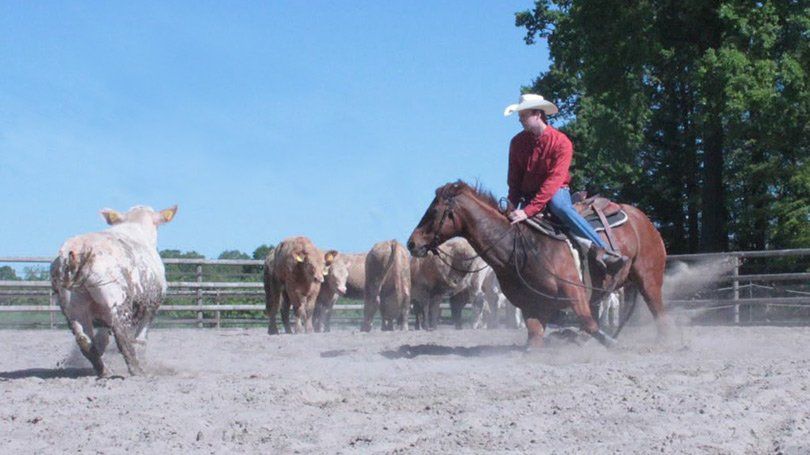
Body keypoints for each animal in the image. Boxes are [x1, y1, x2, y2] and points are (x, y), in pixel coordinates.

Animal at [406, 181, 670, 348]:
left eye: (434, 211)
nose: (412, 243)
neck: (521, 247)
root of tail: (642, 218)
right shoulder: (531, 304)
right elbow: (535, 337)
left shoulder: (574, 291)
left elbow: (589, 323)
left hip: (648, 280)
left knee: (658, 313)